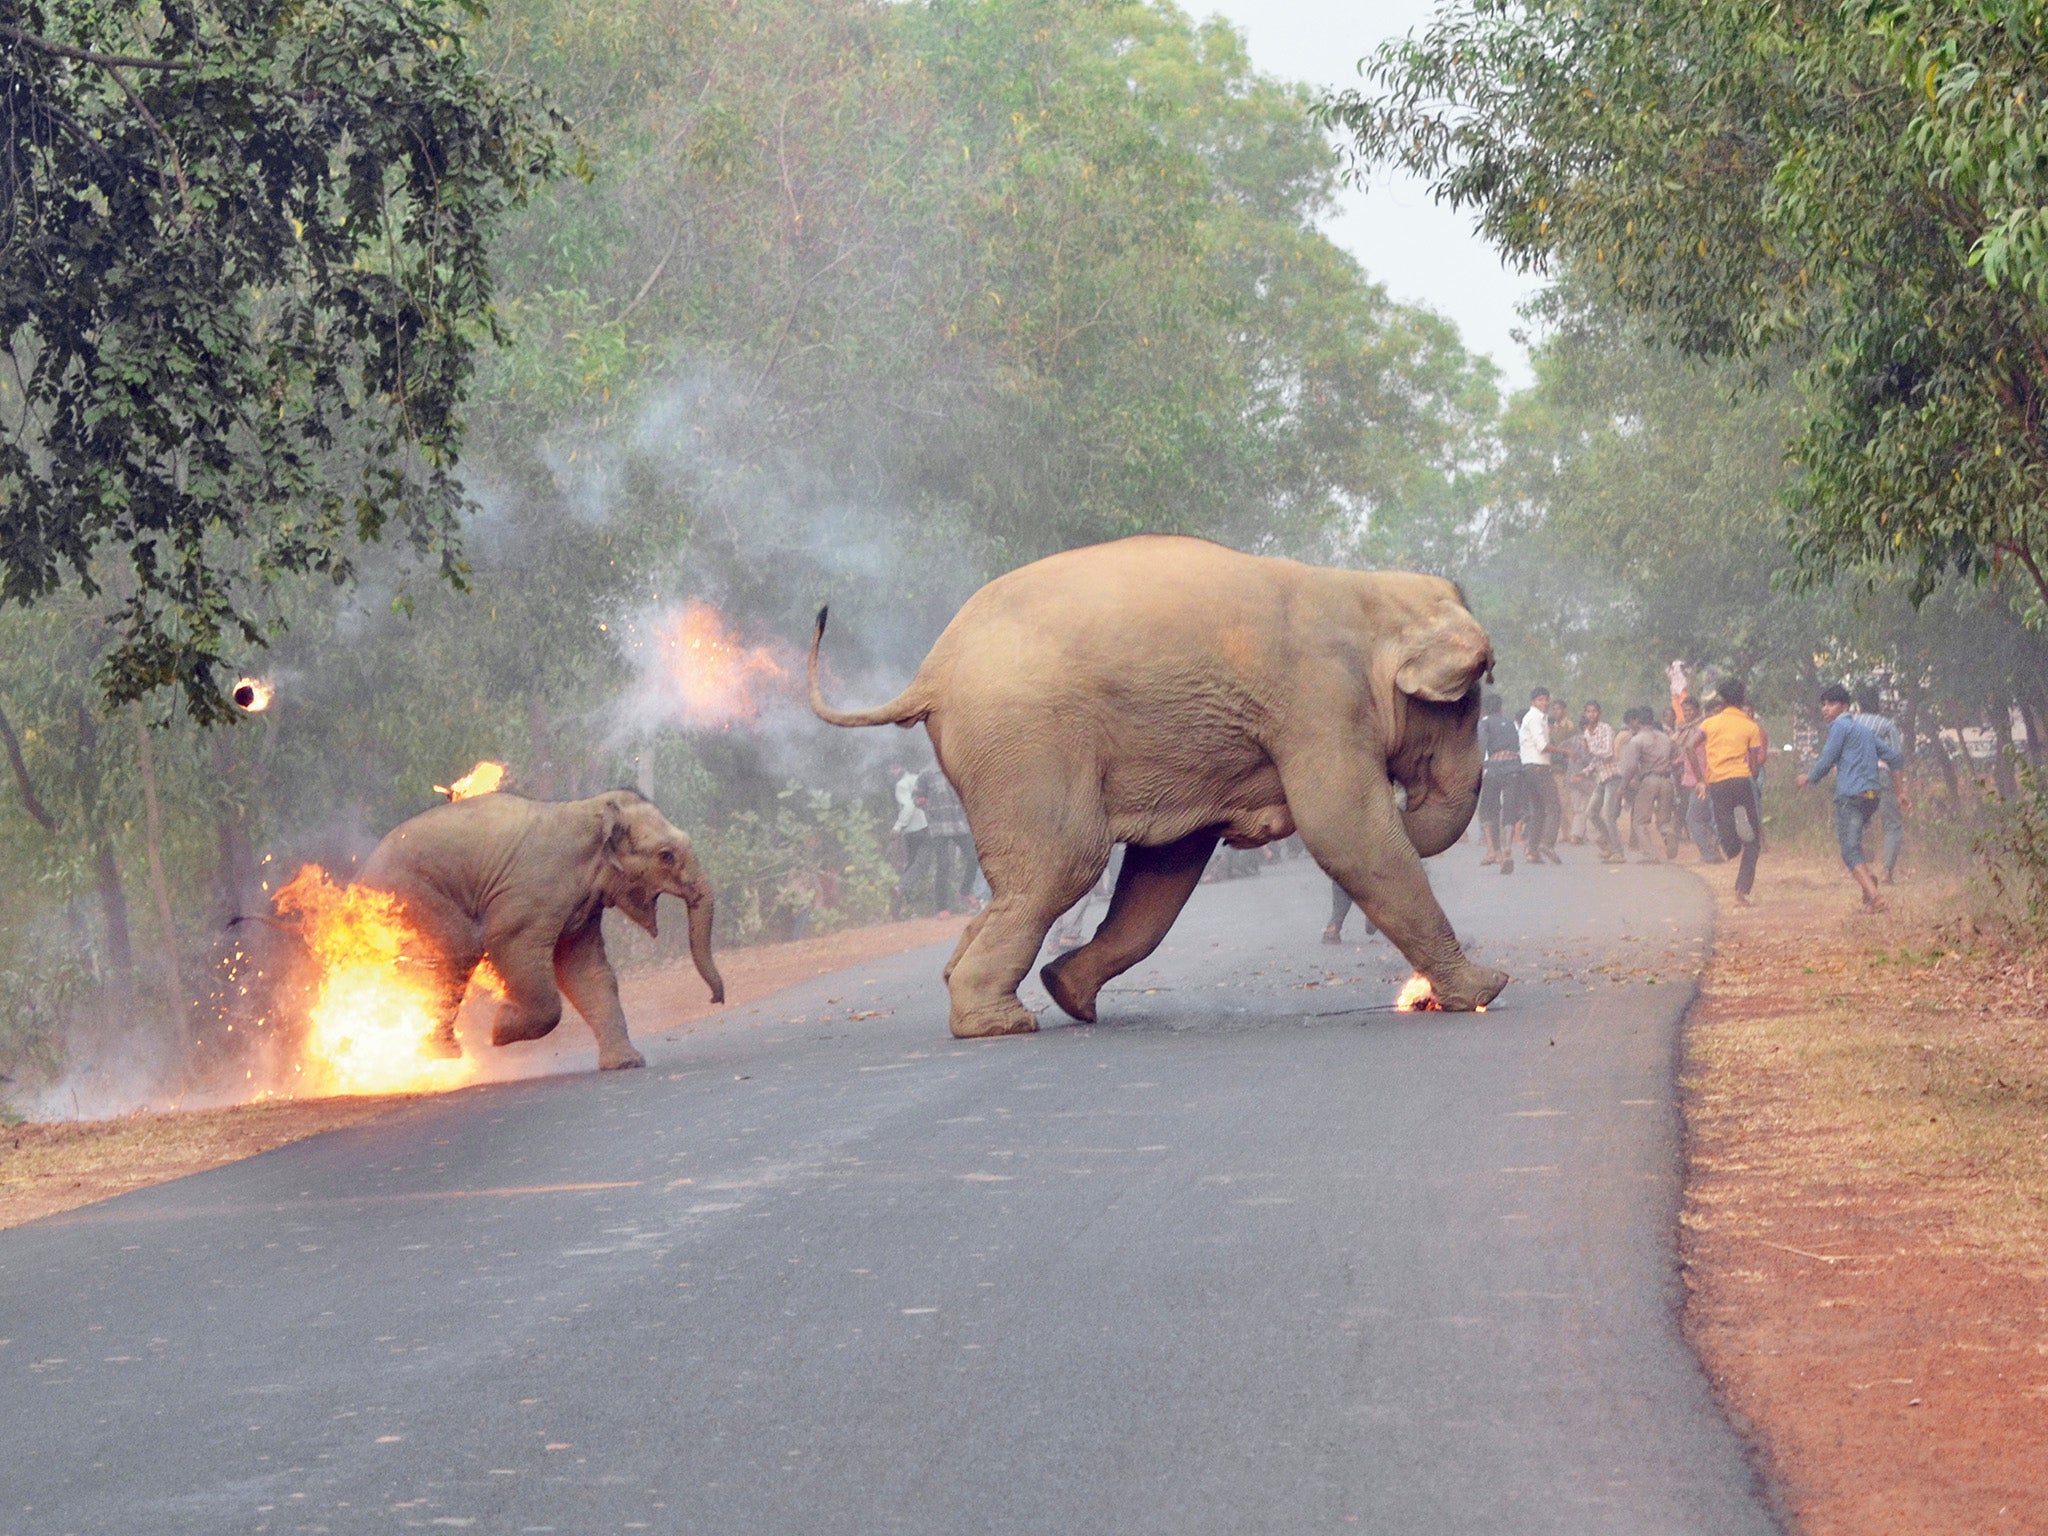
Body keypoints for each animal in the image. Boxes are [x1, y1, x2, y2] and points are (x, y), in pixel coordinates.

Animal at [362, 794, 729, 1073]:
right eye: (666, 856)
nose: (716, 999)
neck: (593, 809)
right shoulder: (531, 894)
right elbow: (509, 946)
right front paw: (500, 1029)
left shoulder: (583, 908)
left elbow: (585, 969)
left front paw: (626, 1064)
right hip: (413, 895)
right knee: (458, 951)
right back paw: (442, 1055)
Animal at [811, 536, 1507, 1040]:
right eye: (1467, 701)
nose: (1408, 799)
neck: (1367, 589)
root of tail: (931, 671)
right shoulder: (1320, 703)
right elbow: (1348, 831)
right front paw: (1486, 989)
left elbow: (1165, 870)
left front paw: (1067, 989)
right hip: (1025, 739)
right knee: (1067, 862)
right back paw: (997, 1025)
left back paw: (1005, 991)